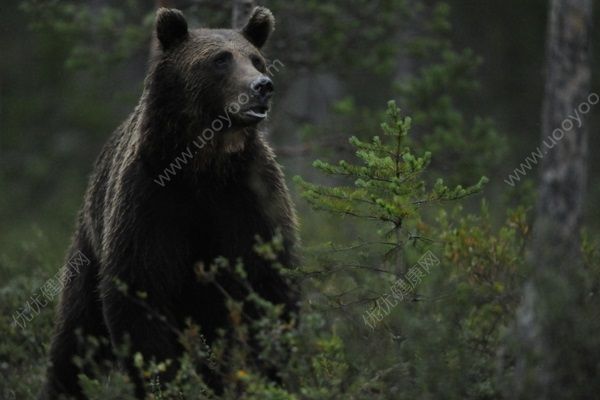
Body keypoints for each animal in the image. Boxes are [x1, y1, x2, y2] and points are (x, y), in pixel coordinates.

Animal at [39, 7, 298, 400]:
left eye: (256, 59)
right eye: (220, 59)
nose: (262, 86)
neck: (204, 167)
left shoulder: (248, 199)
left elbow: (269, 283)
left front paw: (269, 375)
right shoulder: (151, 200)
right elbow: (140, 291)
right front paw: (165, 380)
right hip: (89, 244)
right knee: (77, 332)